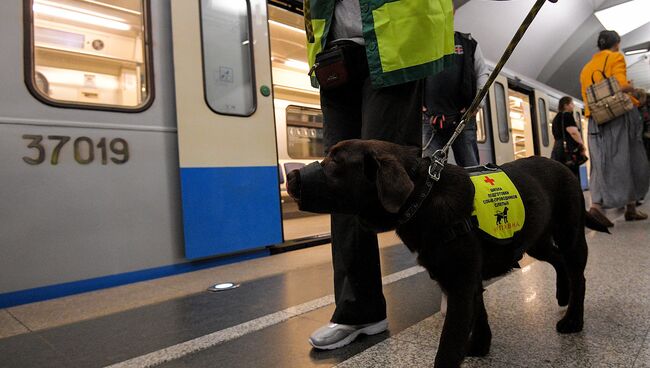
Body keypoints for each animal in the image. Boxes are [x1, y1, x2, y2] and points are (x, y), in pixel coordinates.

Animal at [286, 140, 604, 368]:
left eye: (335, 161)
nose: (290, 174)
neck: (423, 198)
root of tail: (562, 165)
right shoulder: (466, 281)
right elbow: (479, 315)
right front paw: (479, 346)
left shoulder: (460, 285)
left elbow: (448, 347)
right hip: (536, 240)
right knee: (558, 260)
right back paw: (562, 294)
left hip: (571, 235)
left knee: (579, 275)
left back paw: (573, 319)